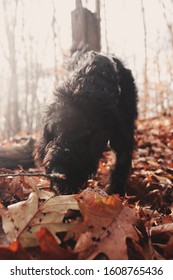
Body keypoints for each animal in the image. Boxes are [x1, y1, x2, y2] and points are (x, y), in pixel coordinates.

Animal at [34, 51, 138, 195]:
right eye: (56, 129)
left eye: (88, 130)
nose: (59, 172)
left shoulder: (124, 130)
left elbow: (122, 159)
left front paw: (115, 191)